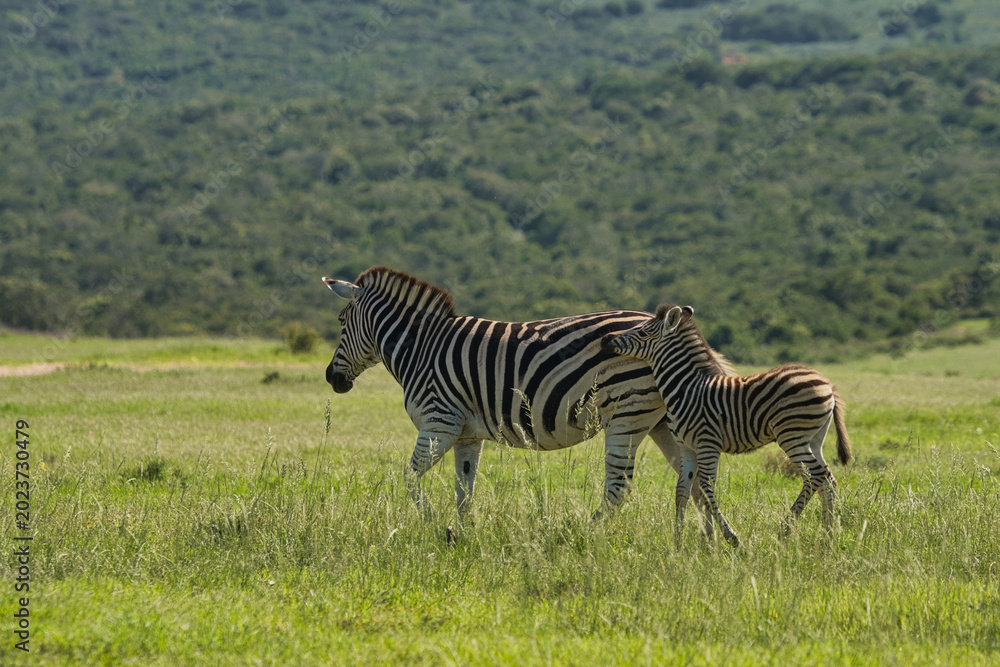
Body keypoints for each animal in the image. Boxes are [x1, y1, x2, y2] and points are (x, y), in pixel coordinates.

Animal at [322, 266, 729, 521]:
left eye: (340, 322)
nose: (331, 378)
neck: (421, 348)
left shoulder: (439, 424)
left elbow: (409, 478)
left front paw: (432, 523)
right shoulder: (466, 434)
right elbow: (464, 493)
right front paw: (461, 538)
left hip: (627, 416)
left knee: (619, 487)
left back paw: (588, 535)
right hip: (663, 420)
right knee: (695, 482)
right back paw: (715, 544)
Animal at [600, 304, 851, 546]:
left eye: (642, 332)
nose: (606, 339)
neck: (686, 389)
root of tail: (827, 383)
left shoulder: (708, 443)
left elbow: (706, 488)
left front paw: (731, 537)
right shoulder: (686, 447)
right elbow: (682, 489)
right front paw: (677, 540)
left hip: (791, 435)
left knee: (815, 476)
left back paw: (785, 530)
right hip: (813, 439)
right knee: (828, 480)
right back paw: (827, 537)